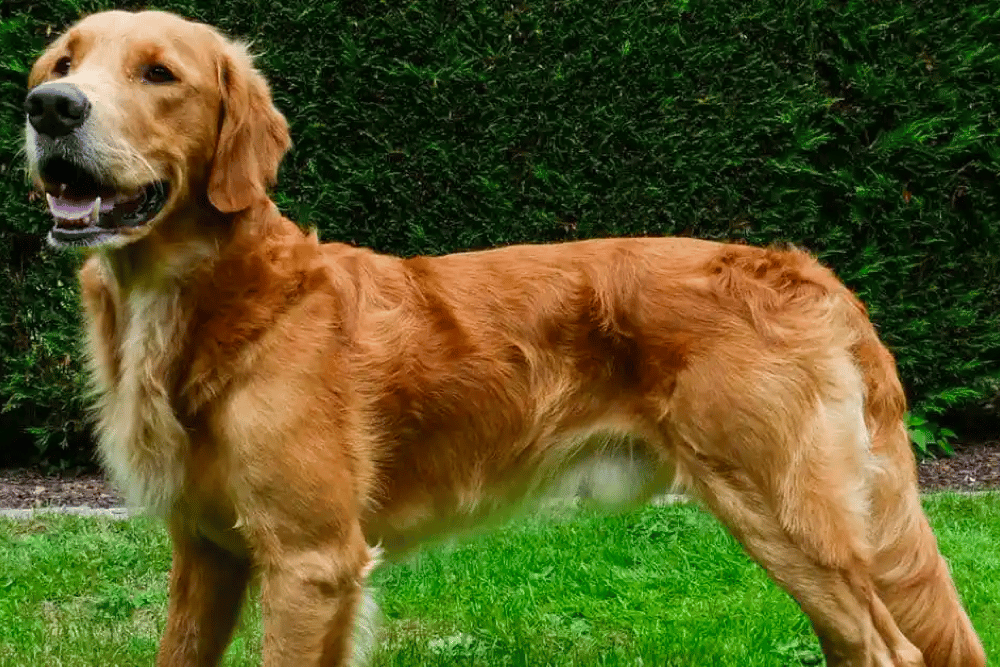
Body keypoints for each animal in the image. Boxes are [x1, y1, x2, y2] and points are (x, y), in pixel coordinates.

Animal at [21, 10, 984, 667]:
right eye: (66, 61)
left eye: (159, 73)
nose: (48, 107)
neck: (212, 299)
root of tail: (804, 268)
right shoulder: (208, 551)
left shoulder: (310, 559)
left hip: (781, 510)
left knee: (891, 648)